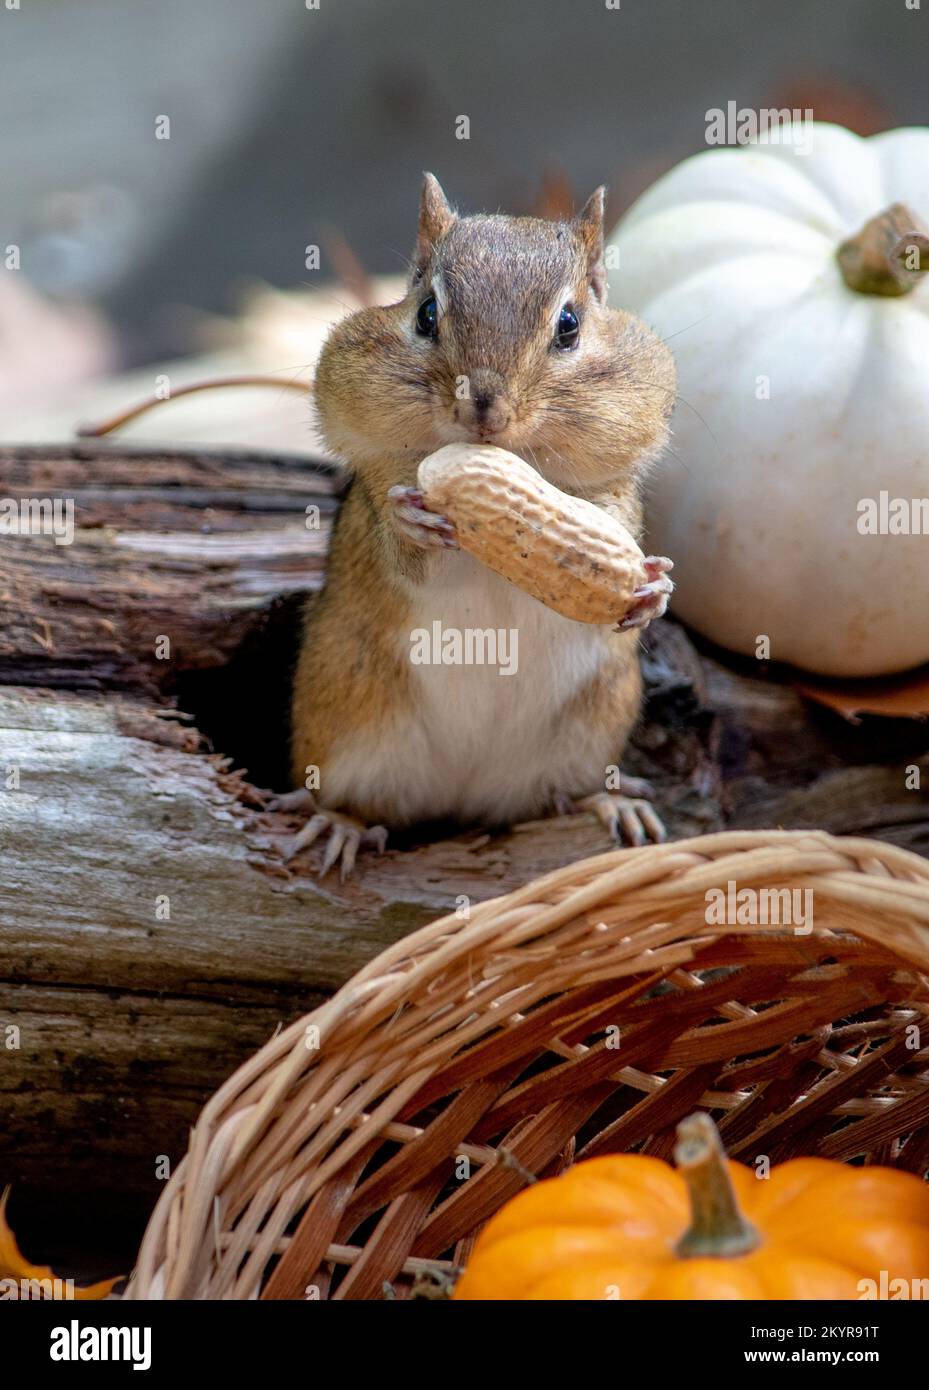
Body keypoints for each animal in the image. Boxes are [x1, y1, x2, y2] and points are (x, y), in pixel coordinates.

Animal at [278, 174, 677, 878]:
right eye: (425, 315)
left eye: (569, 326)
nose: (482, 405)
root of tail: (463, 794)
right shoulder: (379, 487)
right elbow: (401, 553)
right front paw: (412, 523)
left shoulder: (613, 499)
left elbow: (619, 536)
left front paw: (652, 590)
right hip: (351, 722)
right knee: (360, 802)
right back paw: (338, 825)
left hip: (588, 728)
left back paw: (607, 804)